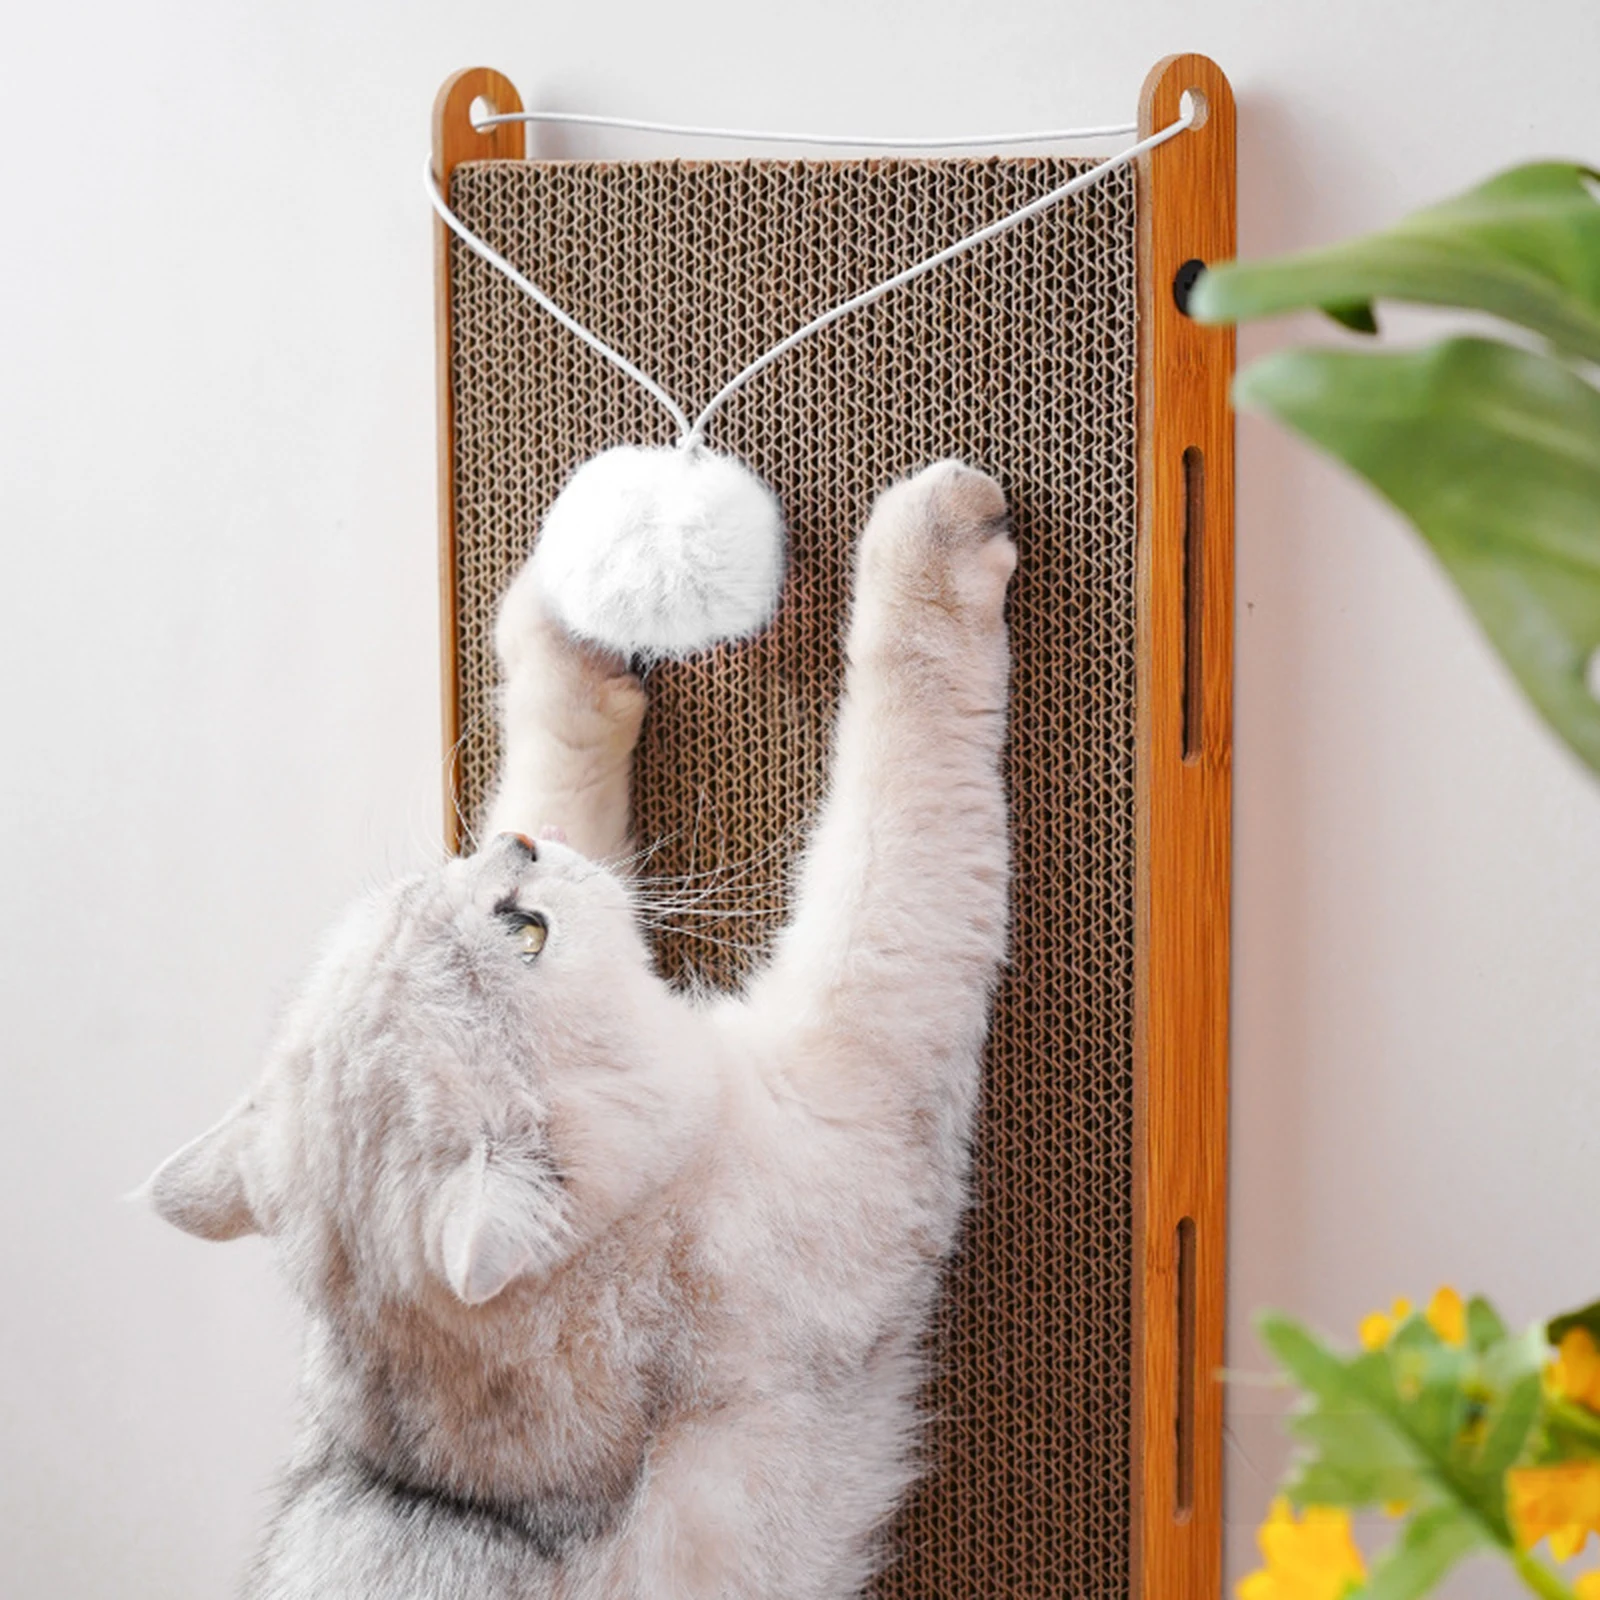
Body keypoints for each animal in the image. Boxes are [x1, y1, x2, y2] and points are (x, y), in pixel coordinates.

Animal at [147, 460, 1011, 1600]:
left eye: (473, 898)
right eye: (529, 936)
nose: (516, 852)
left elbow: (551, 766)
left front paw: (570, 625)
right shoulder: (860, 1046)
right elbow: (897, 774)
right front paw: (931, 543)